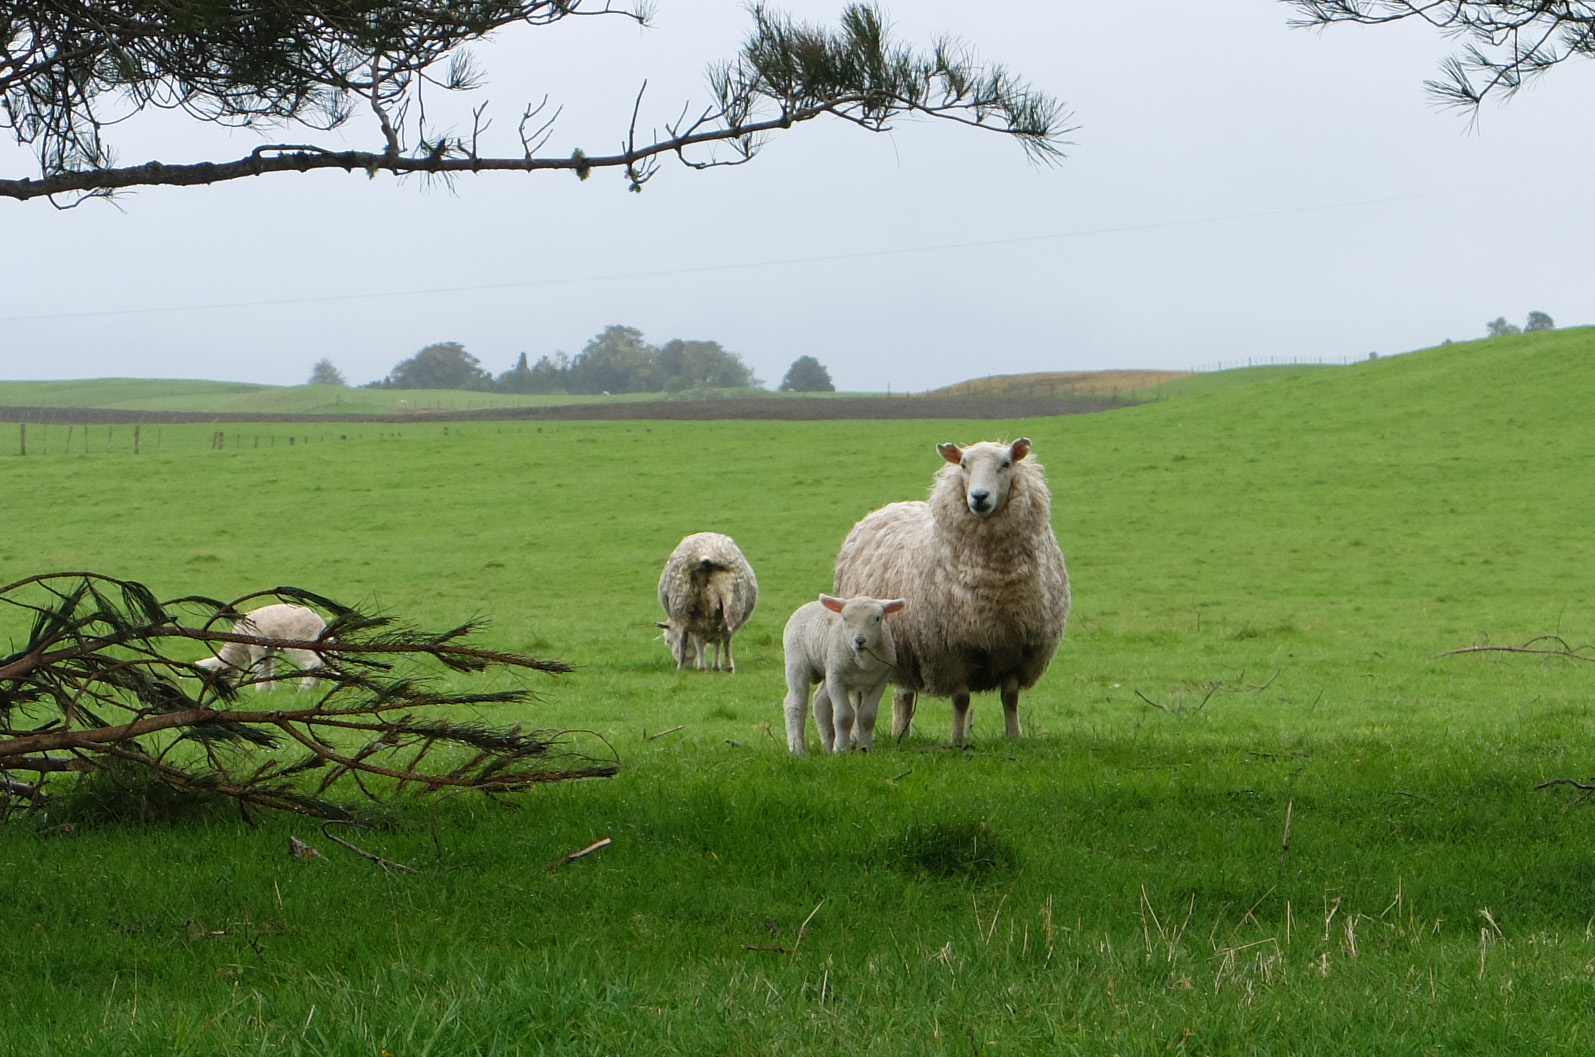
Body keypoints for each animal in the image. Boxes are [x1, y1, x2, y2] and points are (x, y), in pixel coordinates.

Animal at [197, 602, 338, 695]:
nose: (219, 692)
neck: (238, 649)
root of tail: (319, 623)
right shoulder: (270, 648)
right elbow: (269, 667)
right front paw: (269, 690)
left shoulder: (256, 648)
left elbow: (259, 668)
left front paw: (259, 690)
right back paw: (315, 688)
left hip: (300, 641)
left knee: (314, 663)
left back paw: (304, 689)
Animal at [660, 532, 759, 672]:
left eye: (668, 641)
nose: (689, 663)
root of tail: (706, 554)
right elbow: (715, 641)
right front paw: (714, 666)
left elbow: (699, 641)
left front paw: (703, 665)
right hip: (733, 603)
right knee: (726, 635)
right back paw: (729, 666)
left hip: (682, 603)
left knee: (685, 636)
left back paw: (681, 666)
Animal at [787, 589, 912, 755]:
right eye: (845, 618)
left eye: (878, 618)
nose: (860, 640)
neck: (862, 662)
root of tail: (807, 605)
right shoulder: (837, 679)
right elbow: (843, 717)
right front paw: (841, 751)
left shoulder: (879, 682)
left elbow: (867, 717)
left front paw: (865, 750)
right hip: (796, 662)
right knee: (794, 704)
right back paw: (798, 751)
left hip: (828, 667)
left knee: (820, 702)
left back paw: (827, 748)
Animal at [835, 436, 1071, 742]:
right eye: (963, 464)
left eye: (1006, 463)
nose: (979, 497)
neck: (997, 582)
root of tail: (889, 507)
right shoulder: (951, 650)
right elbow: (961, 700)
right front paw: (958, 740)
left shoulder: (1017, 647)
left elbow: (1010, 698)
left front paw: (1014, 737)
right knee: (863, 695)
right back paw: (858, 737)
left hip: (903, 647)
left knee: (903, 694)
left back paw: (901, 734)